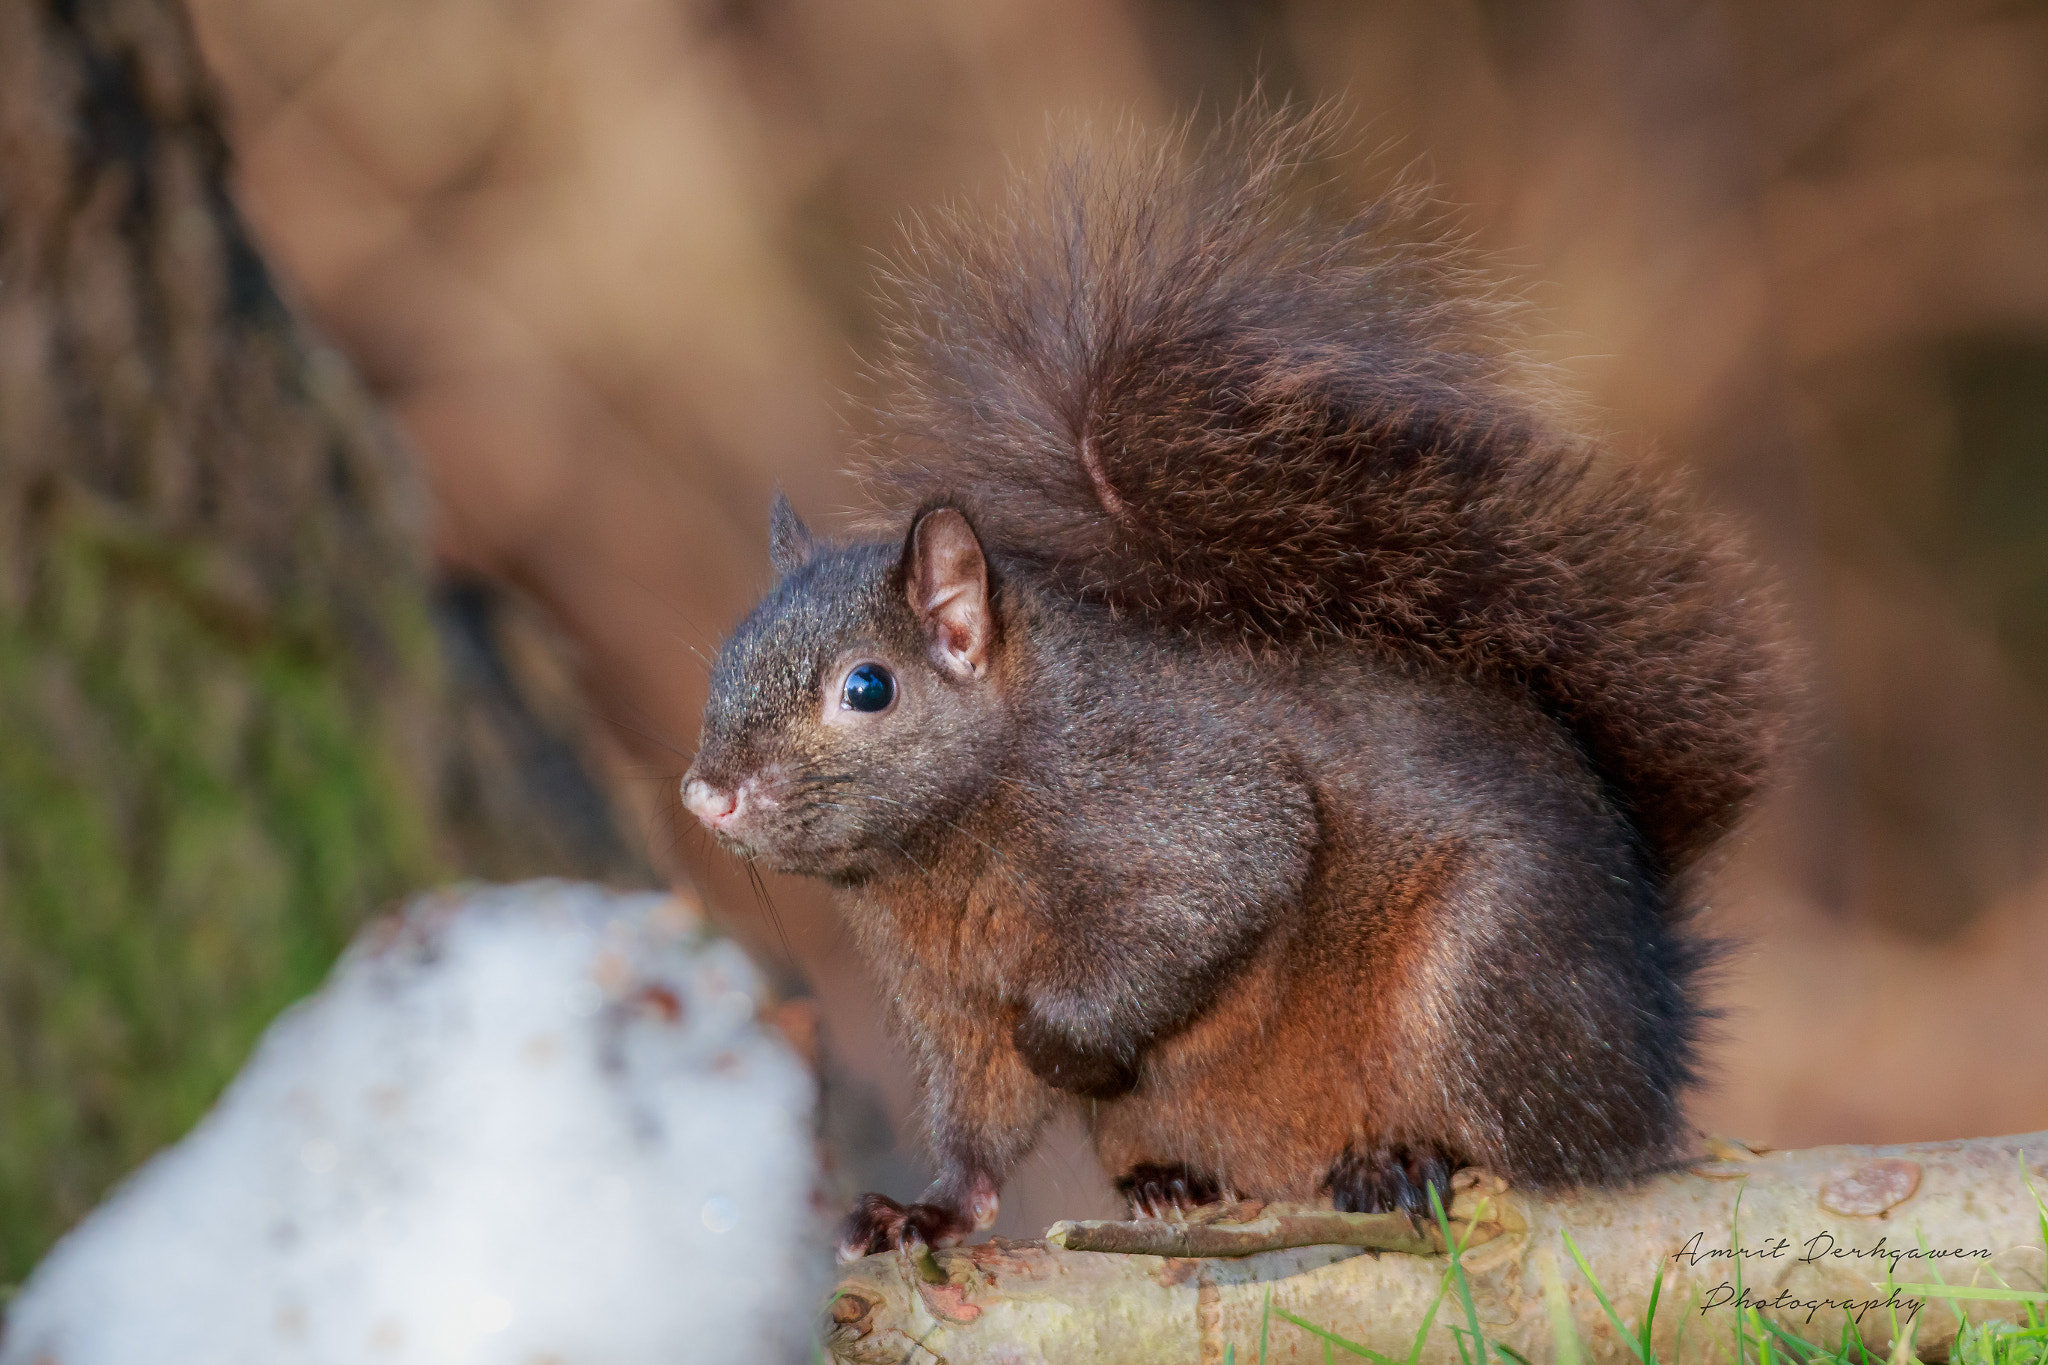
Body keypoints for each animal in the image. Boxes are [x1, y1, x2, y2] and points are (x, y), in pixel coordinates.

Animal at [680, 109, 1787, 1260]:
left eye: (868, 688)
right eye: (724, 660)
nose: (706, 794)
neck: (945, 856)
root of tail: (1653, 1024)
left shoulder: (1178, 798)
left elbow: (1218, 896)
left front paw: (1065, 1049)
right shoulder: (948, 1002)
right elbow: (977, 1132)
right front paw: (926, 1211)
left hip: (1488, 980)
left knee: (1538, 1156)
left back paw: (1405, 1158)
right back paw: (1171, 1183)